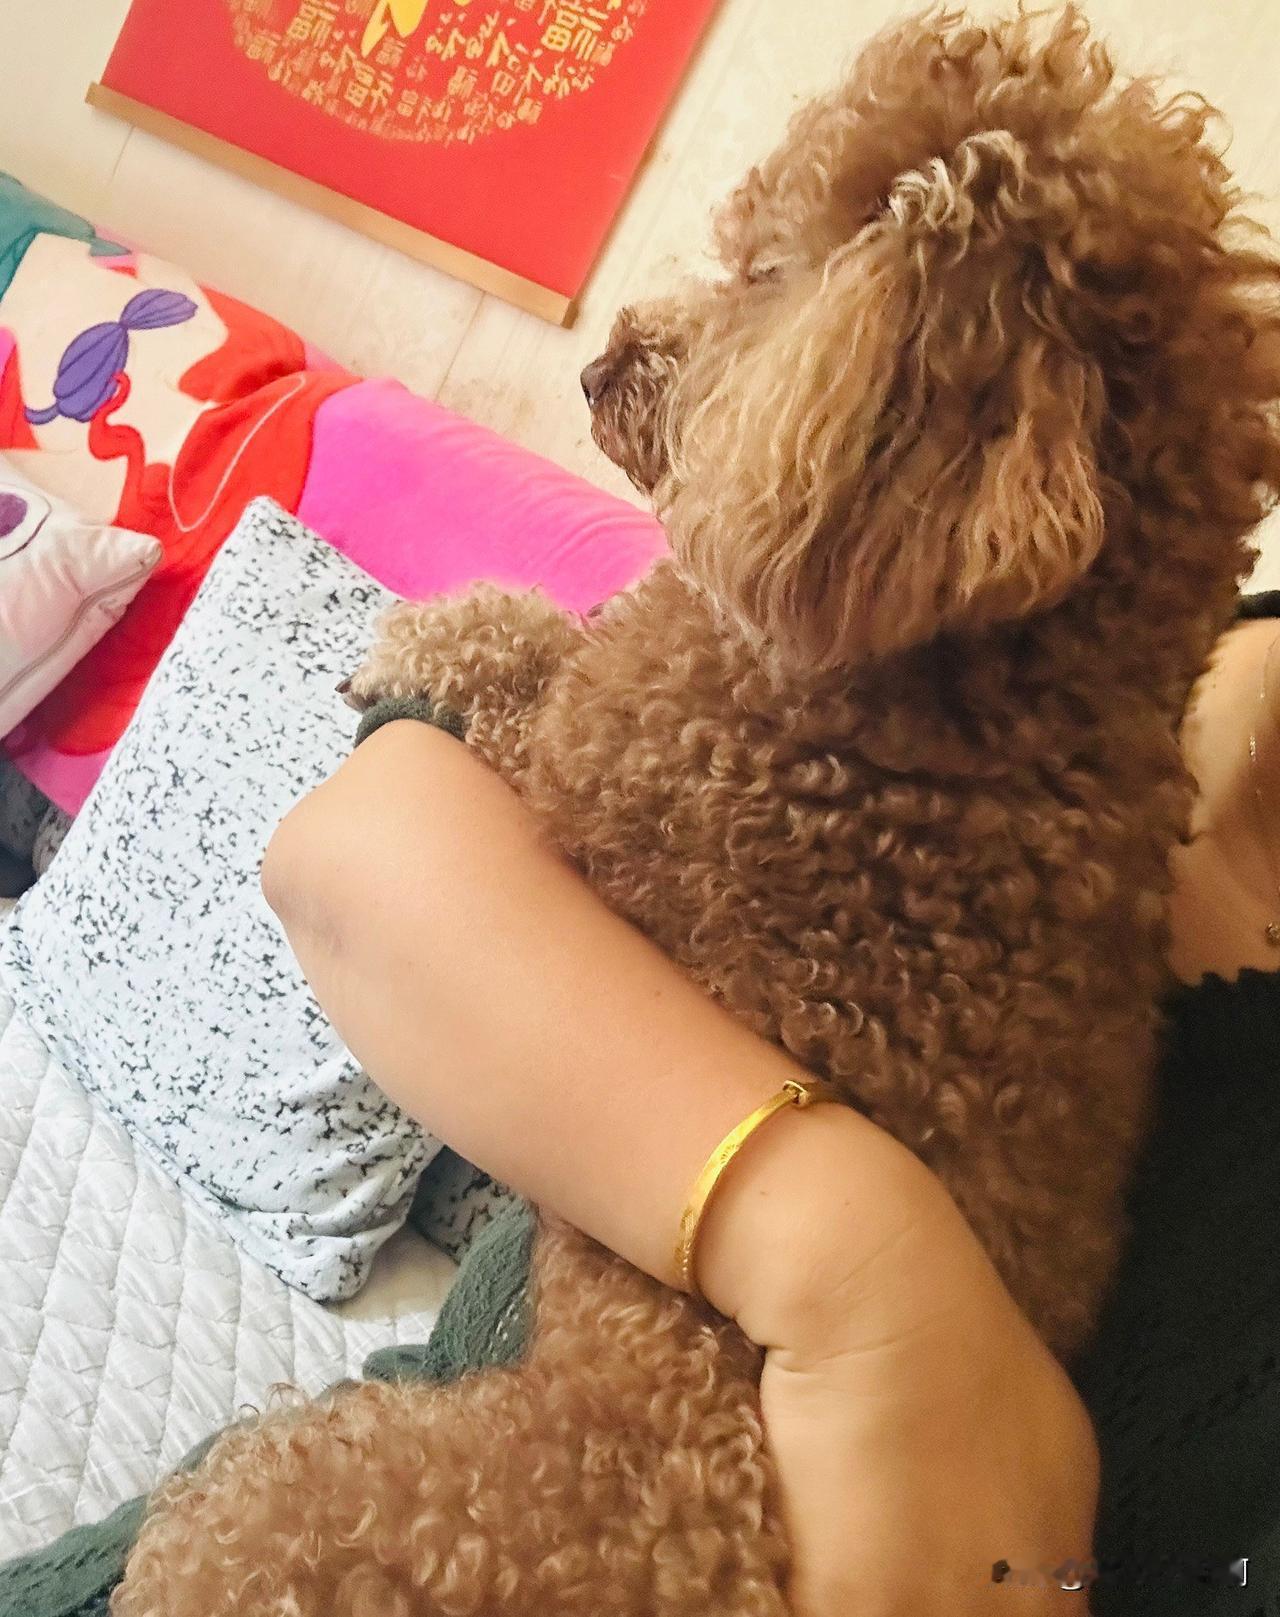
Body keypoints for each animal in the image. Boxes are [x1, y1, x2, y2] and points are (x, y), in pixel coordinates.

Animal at [115, 8, 1280, 1613]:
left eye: (774, 272)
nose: (605, 364)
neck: (1009, 694)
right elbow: (558, 631)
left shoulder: (594, 785)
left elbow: (524, 664)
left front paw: (425, 639)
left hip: (430, 1499)